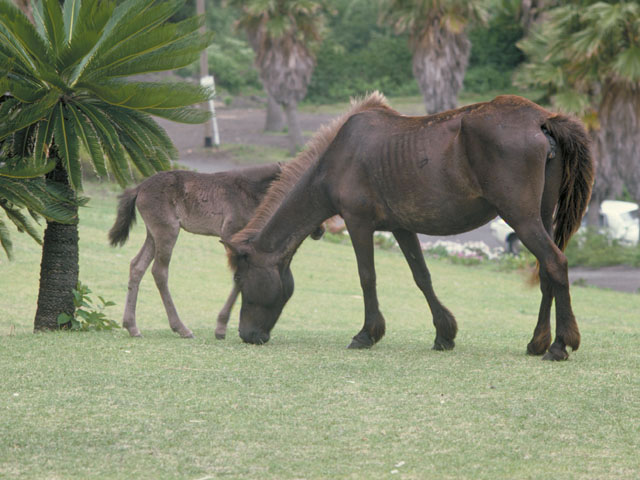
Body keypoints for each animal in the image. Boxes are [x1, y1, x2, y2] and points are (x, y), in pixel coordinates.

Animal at [107, 163, 322, 340]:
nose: (320, 231)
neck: (248, 191)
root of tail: (139, 188)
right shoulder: (231, 235)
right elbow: (238, 277)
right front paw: (220, 328)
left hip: (152, 234)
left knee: (137, 266)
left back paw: (132, 327)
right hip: (167, 231)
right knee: (159, 271)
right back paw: (181, 329)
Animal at [226, 92, 596, 360]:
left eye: (241, 281)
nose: (247, 335)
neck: (339, 157)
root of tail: (542, 119)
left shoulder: (358, 223)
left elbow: (367, 277)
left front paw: (367, 333)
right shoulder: (402, 228)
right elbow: (422, 277)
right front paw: (444, 333)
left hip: (521, 217)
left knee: (555, 264)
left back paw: (559, 345)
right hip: (541, 216)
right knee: (546, 272)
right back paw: (537, 342)